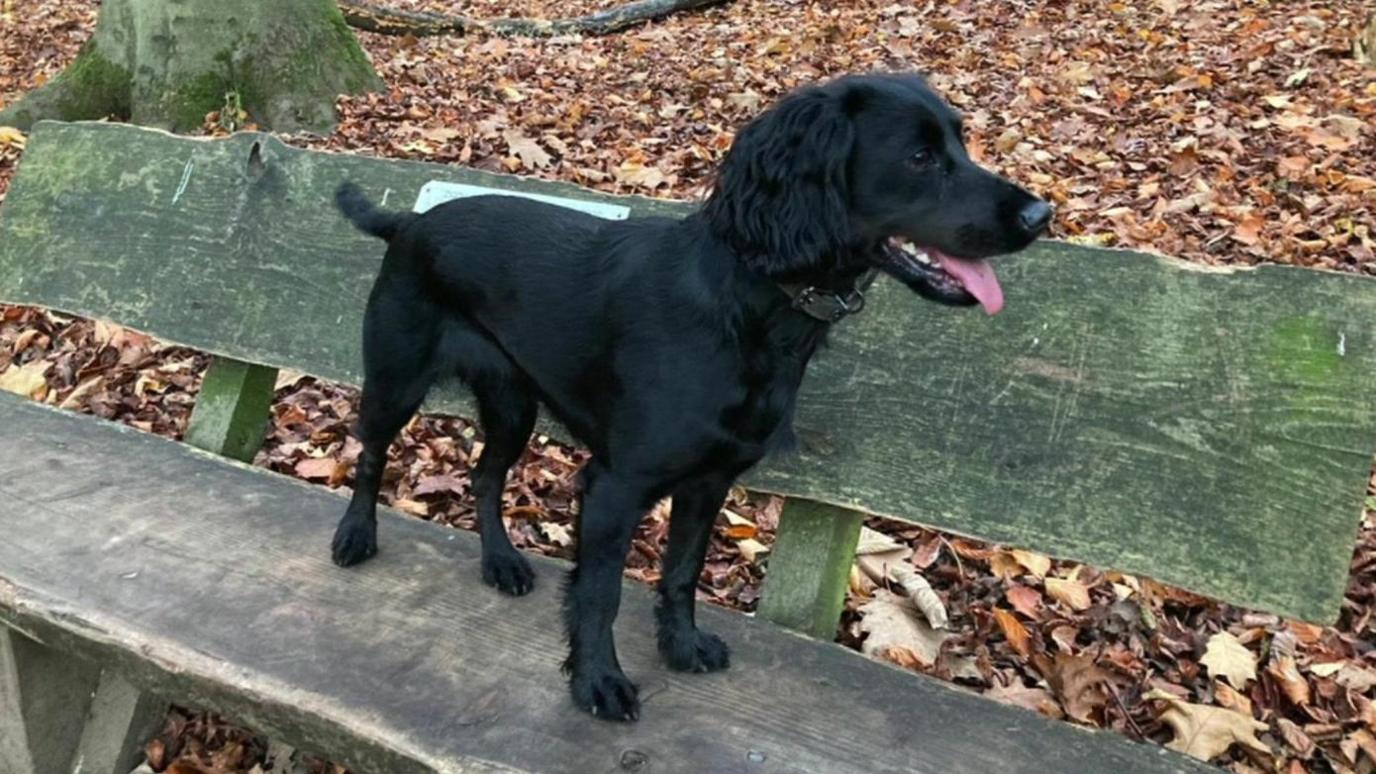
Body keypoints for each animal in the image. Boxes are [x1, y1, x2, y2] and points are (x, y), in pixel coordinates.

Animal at [327, 72, 1045, 716]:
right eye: (919, 157)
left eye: (960, 143)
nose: (1041, 215)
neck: (746, 303)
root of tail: (409, 221)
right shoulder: (614, 487)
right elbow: (600, 593)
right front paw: (597, 682)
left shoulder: (708, 483)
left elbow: (681, 573)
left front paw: (680, 646)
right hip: (395, 381)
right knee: (371, 456)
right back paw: (355, 536)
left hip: (512, 404)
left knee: (483, 476)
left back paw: (501, 562)